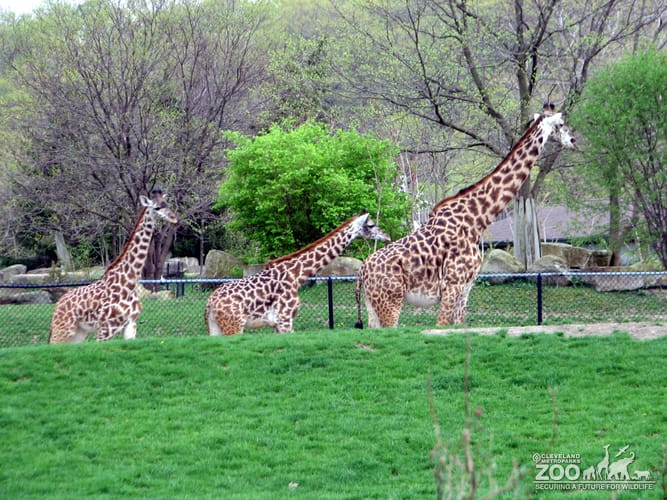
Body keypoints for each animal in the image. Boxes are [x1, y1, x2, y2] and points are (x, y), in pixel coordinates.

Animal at [48, 191, 178, 343]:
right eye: (157, 208)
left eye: (167, 204)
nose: (174, 218)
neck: (129, 283)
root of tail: (57, 307)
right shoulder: (105, 329)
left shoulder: (131, 325)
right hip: (62, 331)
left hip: (78, 333)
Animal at [205, 212, 390, 335]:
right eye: (371, 225)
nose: (387, 236)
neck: (296, 275)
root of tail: (210, 303)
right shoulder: (285, 319)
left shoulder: (278, 323)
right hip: (234, 326)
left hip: (217, 328)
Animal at [355, 105, 575, 328]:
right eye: (561, 124)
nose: (573, 140)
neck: (476, 219)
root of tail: (362, 271)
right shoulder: (452, 285)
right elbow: (441, 325)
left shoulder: (466, 287)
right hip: (390, 302)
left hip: (373, 305)